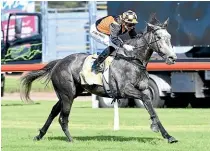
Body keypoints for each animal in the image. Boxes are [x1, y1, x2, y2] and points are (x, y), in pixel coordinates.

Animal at [20, 14, 178, 143]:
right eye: (159, 38)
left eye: (169, 37)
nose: (172, 58)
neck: (133, 59)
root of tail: (59, 62)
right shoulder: (126, 90)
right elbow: (146, 102)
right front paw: (157, 129)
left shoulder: (143, 89)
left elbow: (151, 108)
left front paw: (167, 135)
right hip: (67, 94)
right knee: (63, 117)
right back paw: (71, 139)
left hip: (70, 93)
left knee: (54, 111)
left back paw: (39, 135)